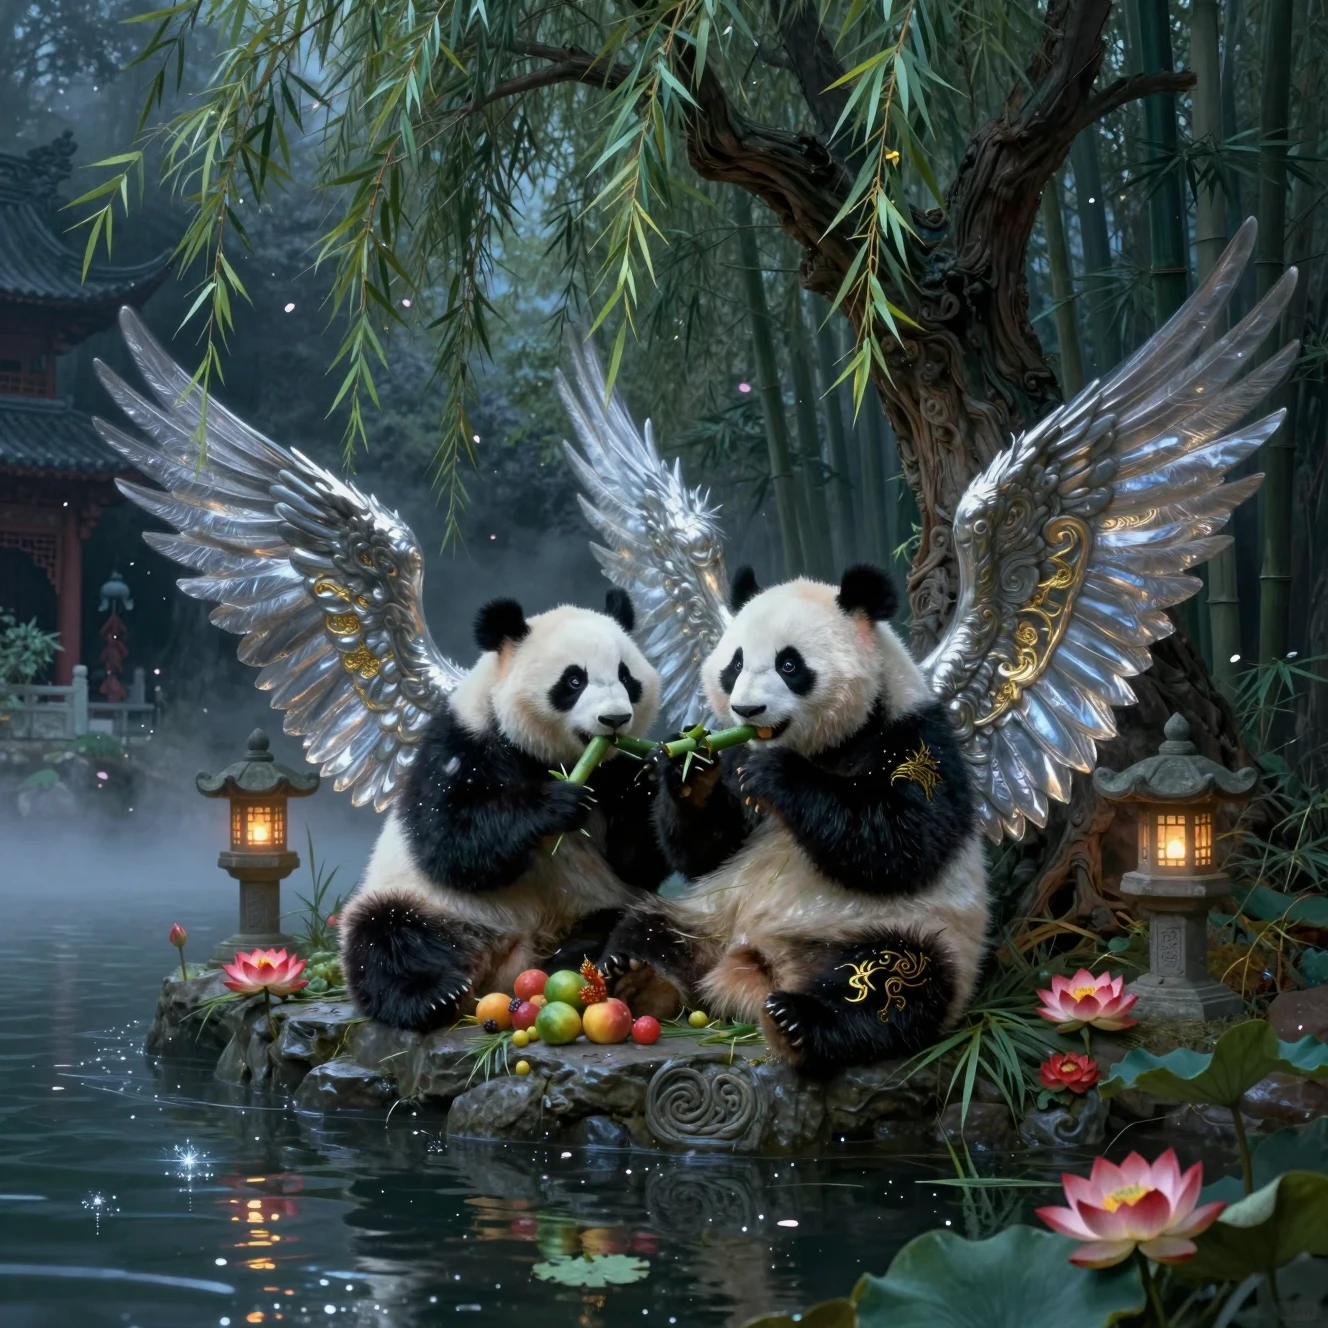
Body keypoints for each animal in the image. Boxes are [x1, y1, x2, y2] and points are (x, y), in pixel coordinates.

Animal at [340, 589, 666, 1033]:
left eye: (627, 677)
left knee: (632, 919)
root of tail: (503, 969)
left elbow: (636, 861)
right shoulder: (461, 744)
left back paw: (605, 962)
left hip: (593, 904)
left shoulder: (612, 770)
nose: (614, 719)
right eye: (574, 680)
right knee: (383, 935)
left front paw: (661, 771)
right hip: (432, 905)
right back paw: (433, 995)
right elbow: (452, 842)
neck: (555, 759)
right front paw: (557, 803)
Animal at [599, 564, 989, 1076]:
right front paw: (692, 767)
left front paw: (779, 774)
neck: (828, 744)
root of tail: (759, 961)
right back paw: (638, 979)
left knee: (896, 987)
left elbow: (900, 841)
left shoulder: (913, 736)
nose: (747, 710)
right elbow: (708, 852)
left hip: (903, 930)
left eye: (790, 665)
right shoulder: (737, 755)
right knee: (648, 928)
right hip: (708, 915)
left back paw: (798, 1021)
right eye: (736, 665)